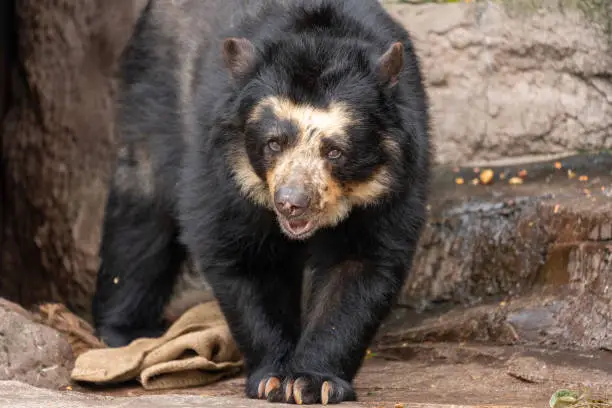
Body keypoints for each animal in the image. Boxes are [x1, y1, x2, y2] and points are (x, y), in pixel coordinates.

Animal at [94, 0, 430, 404]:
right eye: (273, 143)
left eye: (334, 151)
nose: (291, 203)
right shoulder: (223, 166)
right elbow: (243, 255)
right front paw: (272, 377)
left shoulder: (392, 181)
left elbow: (360, 264)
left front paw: (312, 382)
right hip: (155, 90)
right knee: (142, 211)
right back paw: (126, 332)